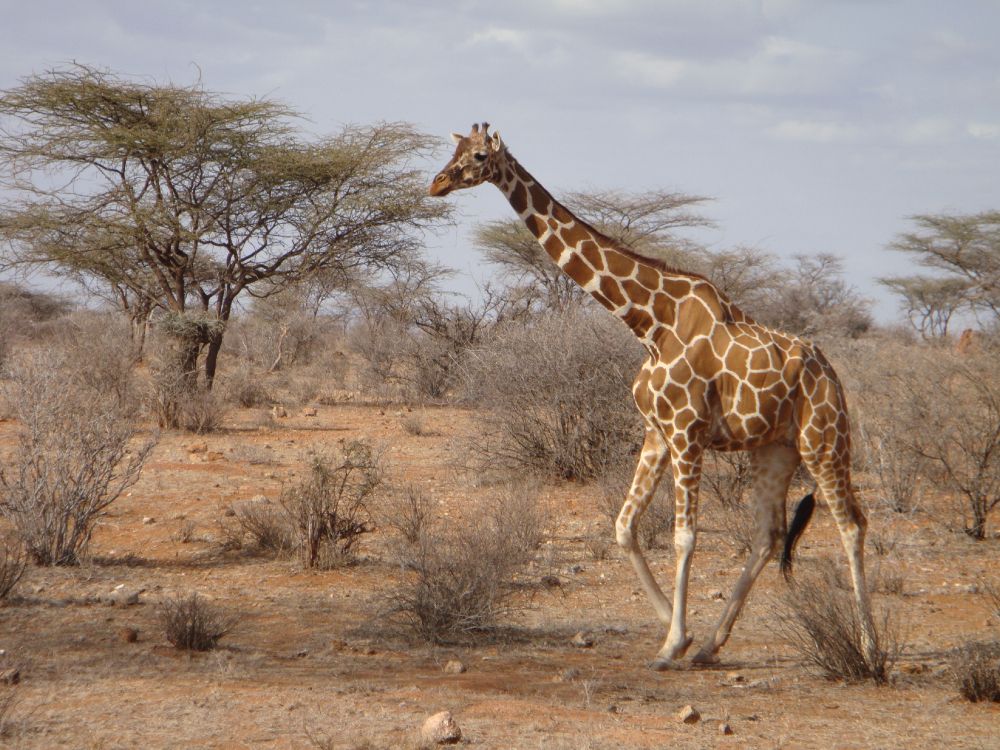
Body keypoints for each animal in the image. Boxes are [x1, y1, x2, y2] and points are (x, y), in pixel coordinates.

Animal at [429, 123, 877, 669]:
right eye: (451, 150)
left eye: (476, 156)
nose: (436, 183)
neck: (648, 322)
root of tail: (830, 372)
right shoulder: (657, 431)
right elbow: (624, 526)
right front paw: (678, 633)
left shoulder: (687, 432)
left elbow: (684, 537)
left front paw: (669, 645)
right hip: (775, 449)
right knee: (769, 534)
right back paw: (709, 645)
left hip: (825, 441)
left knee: (852, 524)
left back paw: (870, 650)